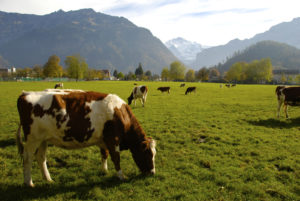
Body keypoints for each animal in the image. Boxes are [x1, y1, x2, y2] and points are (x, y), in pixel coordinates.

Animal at [17, 89, 157, 187]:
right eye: (147, 153)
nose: (152, 173)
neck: (120, 114)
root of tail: (25, 94)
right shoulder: (113, 139)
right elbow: (116, 158)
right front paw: (121, 176)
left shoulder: (103, 140)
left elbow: (104, 155)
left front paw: (104, 170)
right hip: (32, 139)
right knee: (27, 158)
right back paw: (29, 183)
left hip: (43, 140)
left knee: (41, 158)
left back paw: (48, 179)